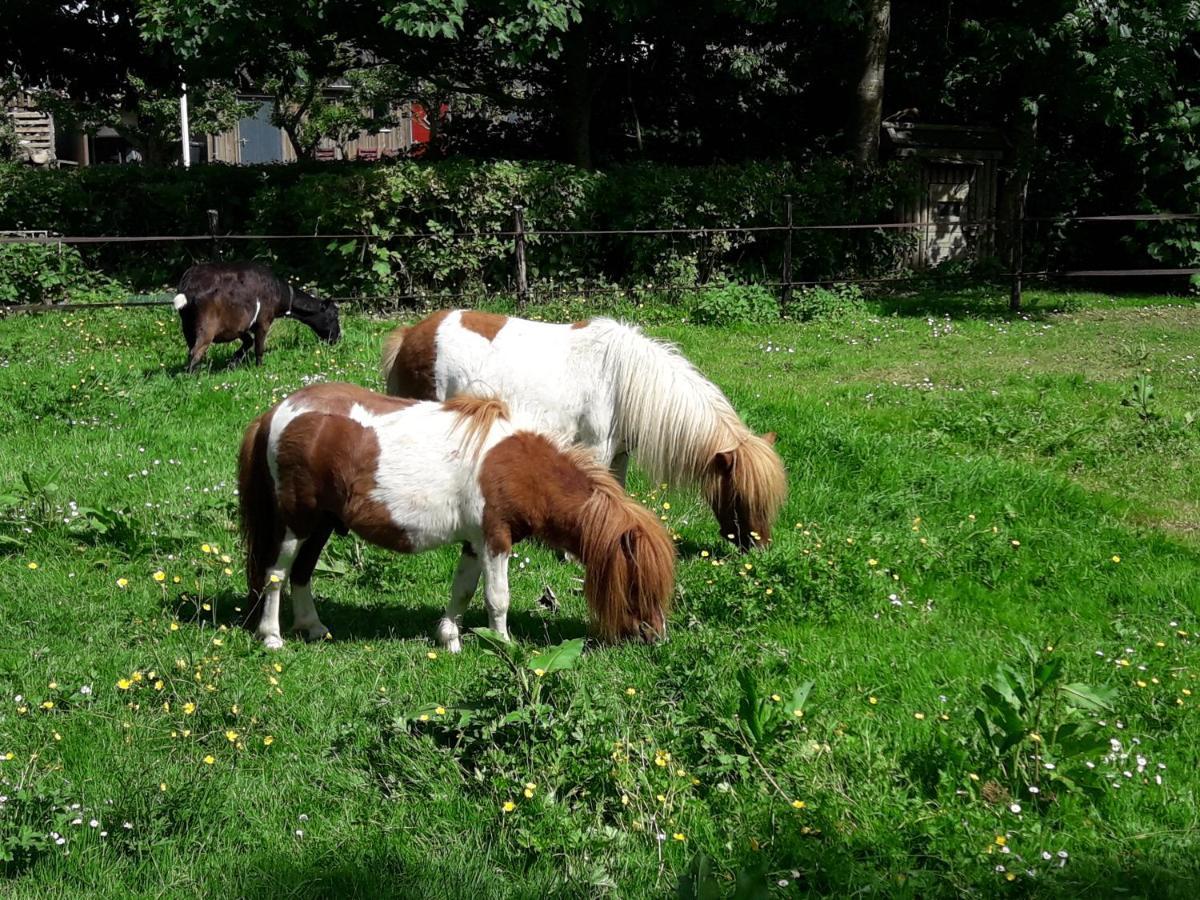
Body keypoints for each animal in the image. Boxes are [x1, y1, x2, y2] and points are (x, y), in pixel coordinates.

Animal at [171, 260, 338, 374]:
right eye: (334, 315)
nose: (337, 338)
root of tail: (189, 285)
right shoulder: (263, 321)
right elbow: (259, 347)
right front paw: (259, 368)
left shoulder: (239, 326)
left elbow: (248, 341)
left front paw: (233, 362)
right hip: (207, 327)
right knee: (195, 352)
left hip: (187, 325)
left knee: (191, 349)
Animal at [234, 381, 676, 648]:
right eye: (638, 584)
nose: (655, 636)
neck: (523, 469)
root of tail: (277, 411)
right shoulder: (496, 540)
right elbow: (497, 598)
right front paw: (502, 643)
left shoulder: (474, 542)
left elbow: (462, 590)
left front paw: (449, 638)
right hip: (296, 524)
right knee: (276, 575)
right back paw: (272, 636)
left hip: (322, 524)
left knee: (302, 574)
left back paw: (313, 627)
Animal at [381, 309, 787, 549]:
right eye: (740, 496)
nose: (759, 547)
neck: (622, 378)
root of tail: (410, 334)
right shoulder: (596, 449)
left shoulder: (619, 455)